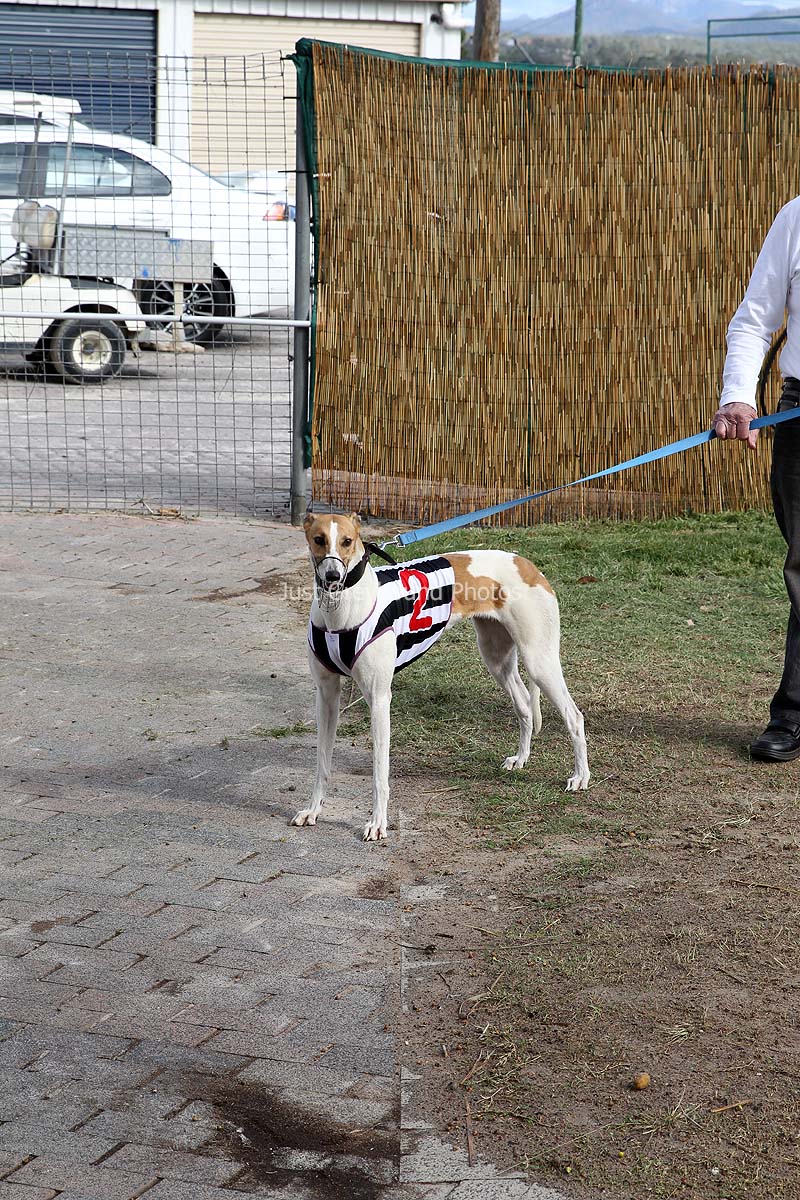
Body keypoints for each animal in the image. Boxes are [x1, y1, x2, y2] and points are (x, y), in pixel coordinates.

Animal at [293, 512, 590, 841]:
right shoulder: (326, 696)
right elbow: (322, 763)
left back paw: (580, 777)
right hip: (496, 658)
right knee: (525, 704)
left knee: (574, 716)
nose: (333, 577)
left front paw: (378, 823)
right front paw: (313, 810)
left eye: (347, 541)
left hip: (539, 660)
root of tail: (526, 563)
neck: (341, 611)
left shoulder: (379, 699)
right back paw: (521, 758)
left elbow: (379, 773)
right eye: (319, 539)